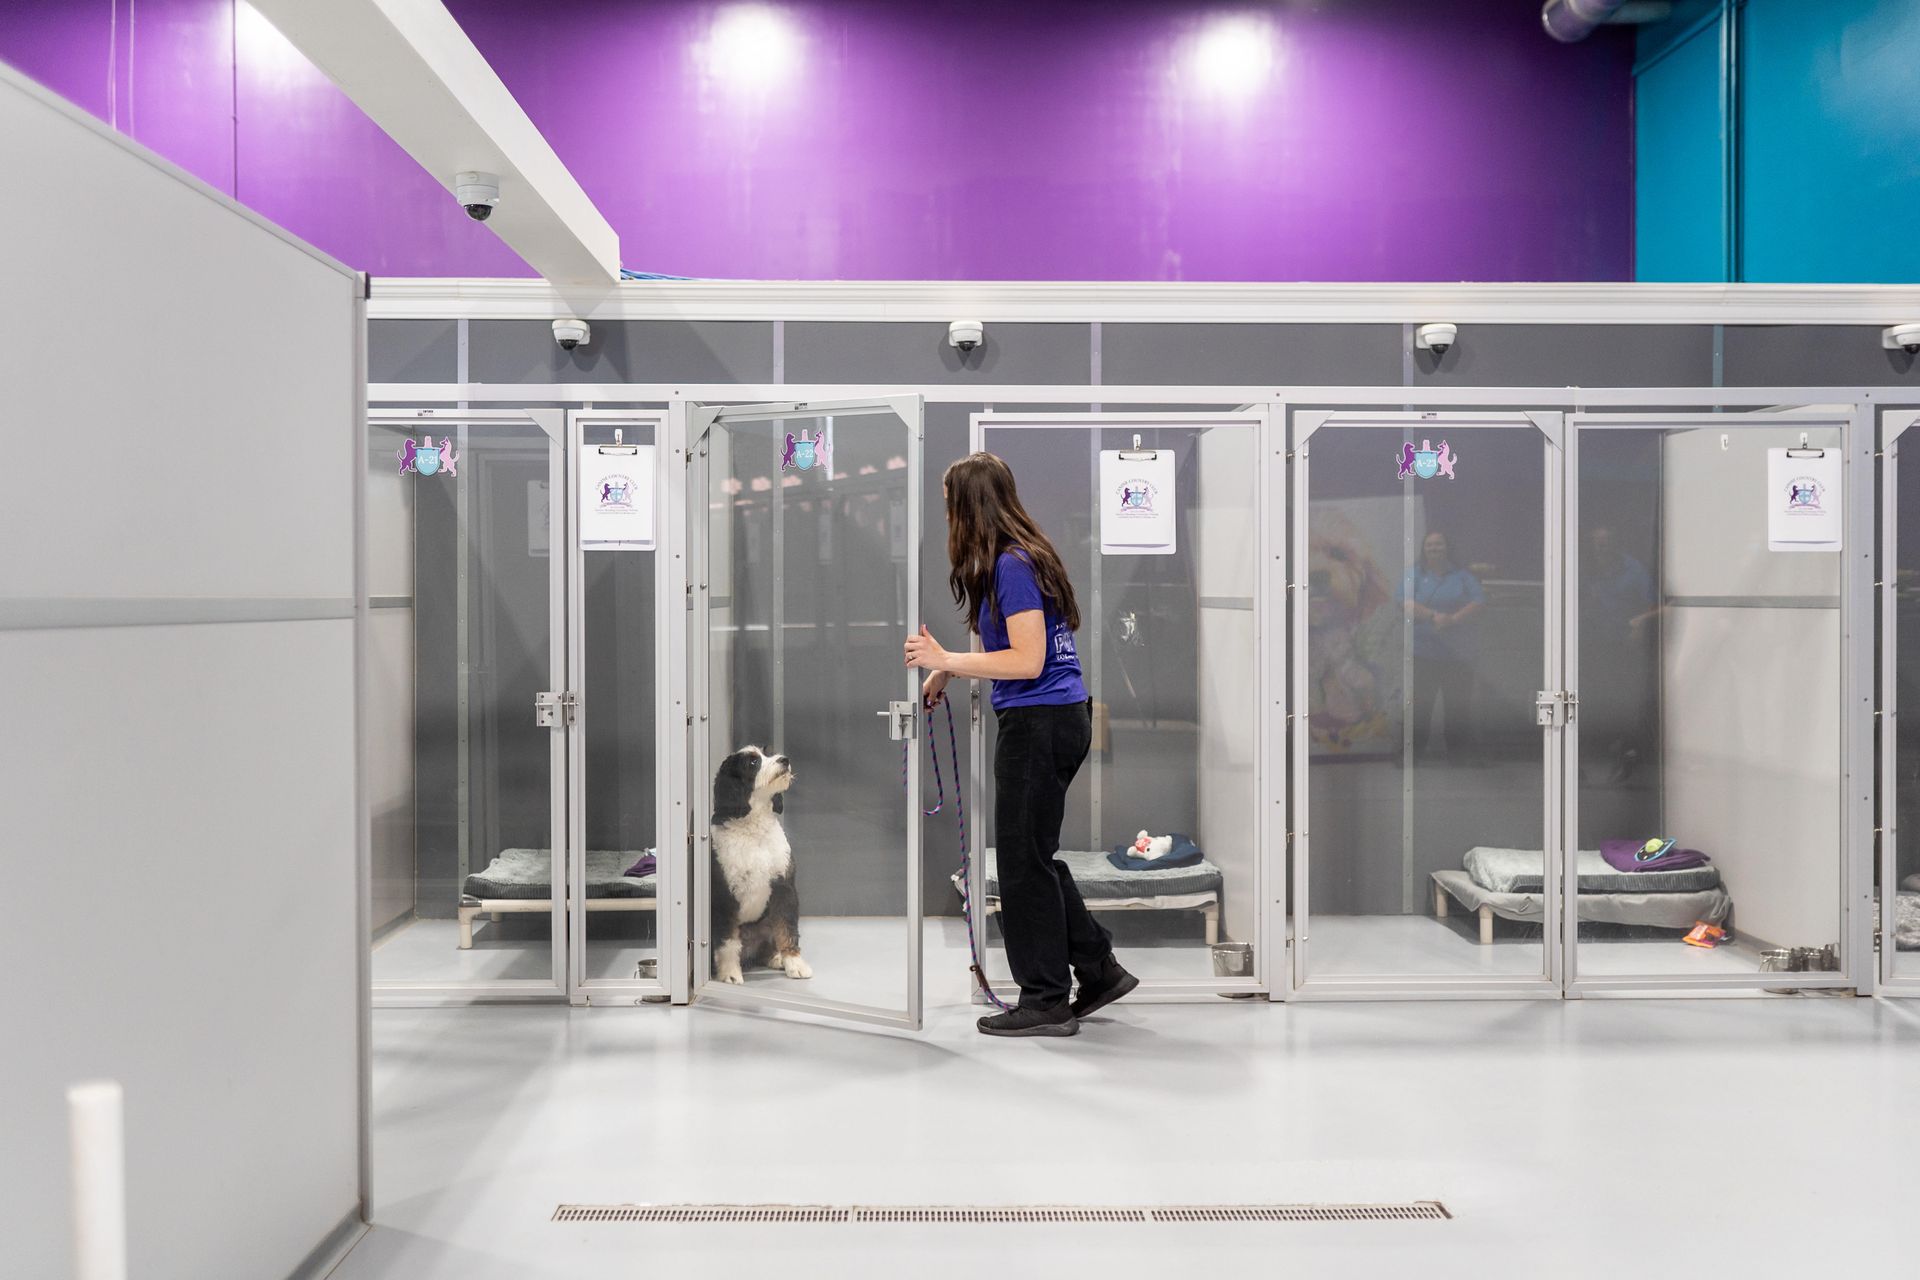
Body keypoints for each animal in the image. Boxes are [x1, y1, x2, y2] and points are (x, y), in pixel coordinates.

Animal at [718, 744, 814, 990]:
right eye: (753, 762)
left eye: (767, 753)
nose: (784, 760)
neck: (755, 829)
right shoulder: (725, 896)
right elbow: (728, 940)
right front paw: (729, 973)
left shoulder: (784, 887)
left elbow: (787, 928)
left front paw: (795, 964)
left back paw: (776, 957)